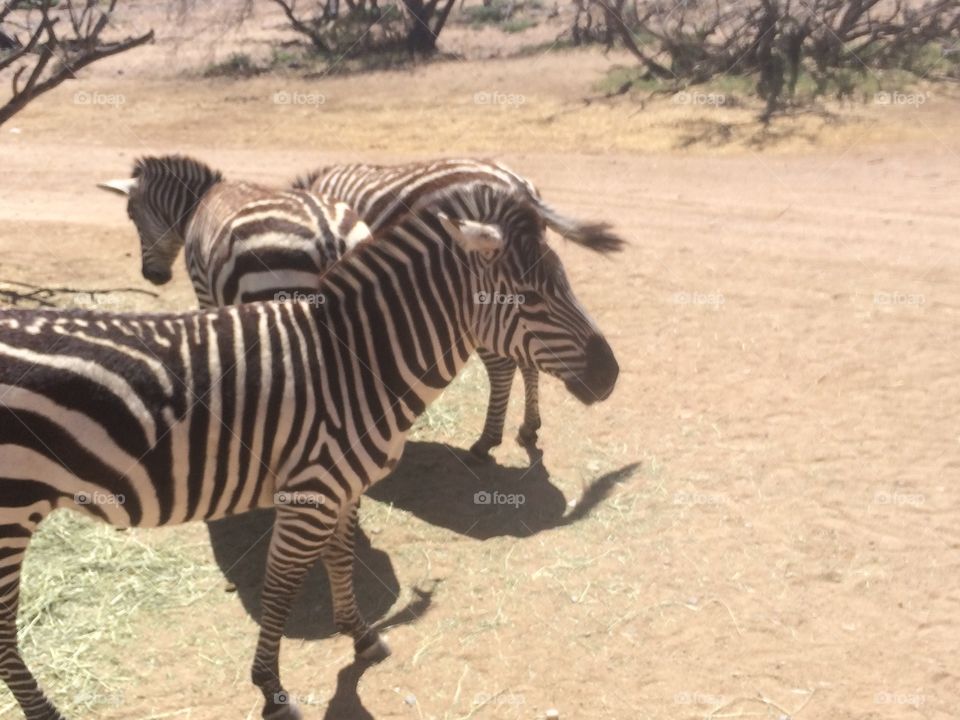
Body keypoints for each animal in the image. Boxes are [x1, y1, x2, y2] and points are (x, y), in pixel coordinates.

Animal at [0, 184, 619, 720]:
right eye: (530, 297)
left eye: (562, 283)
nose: (610, 376)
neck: (352, 364)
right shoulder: (311, 491)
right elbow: (281, 590)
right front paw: (271, 689)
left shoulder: (343, 486)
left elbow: (340, 560)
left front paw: (363, 638)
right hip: (11, 511)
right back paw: (45, 714)